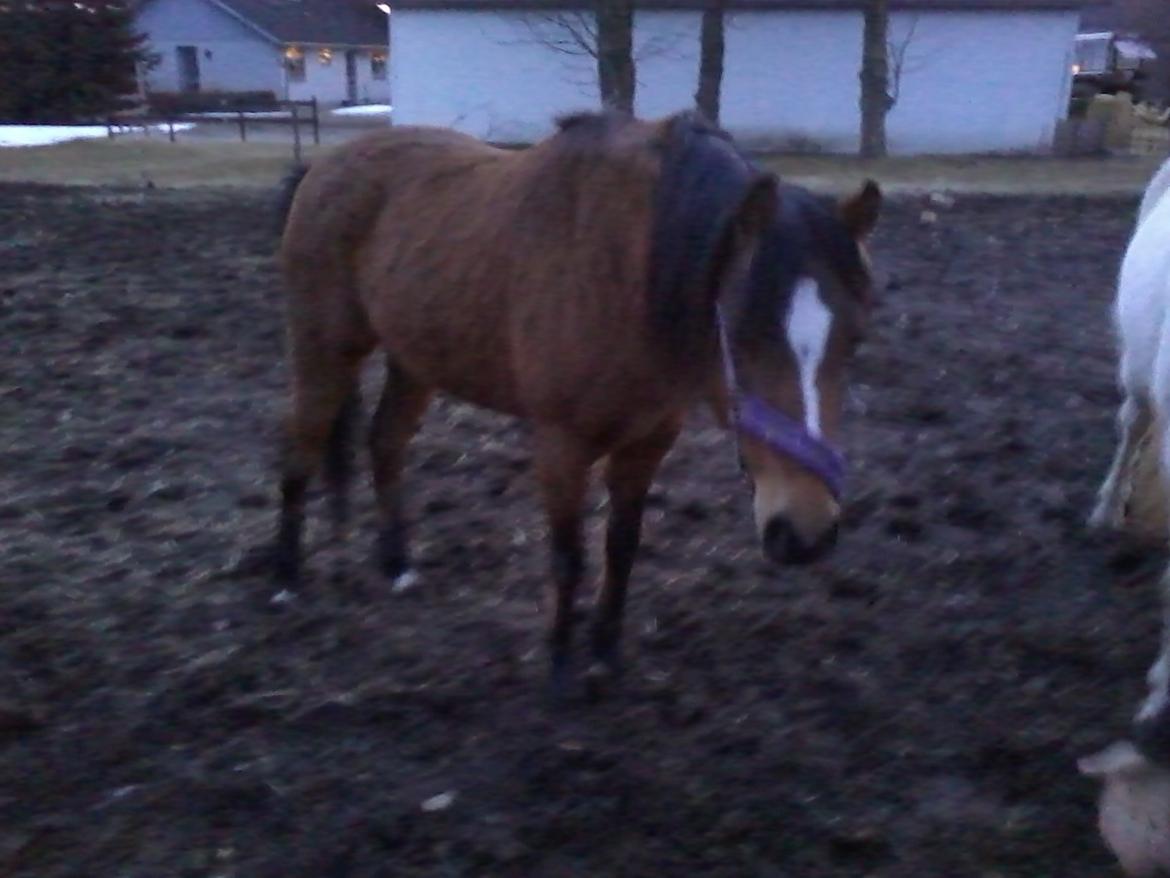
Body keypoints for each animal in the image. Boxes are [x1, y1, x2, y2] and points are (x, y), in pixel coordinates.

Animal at [273, 109, 881, 696]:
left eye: (855, 338)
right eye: (742, 329)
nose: (804, 534)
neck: (629, 274)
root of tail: (322, 167)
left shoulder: (648, 442)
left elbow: (622, 545)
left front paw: (607, 654)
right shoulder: (560, 445)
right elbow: (568, 556)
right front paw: (562, 668)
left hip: (414, 359)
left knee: (385, 442)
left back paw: (397, 564)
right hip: (325, 349)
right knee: (301, 448)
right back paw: (286, 580)